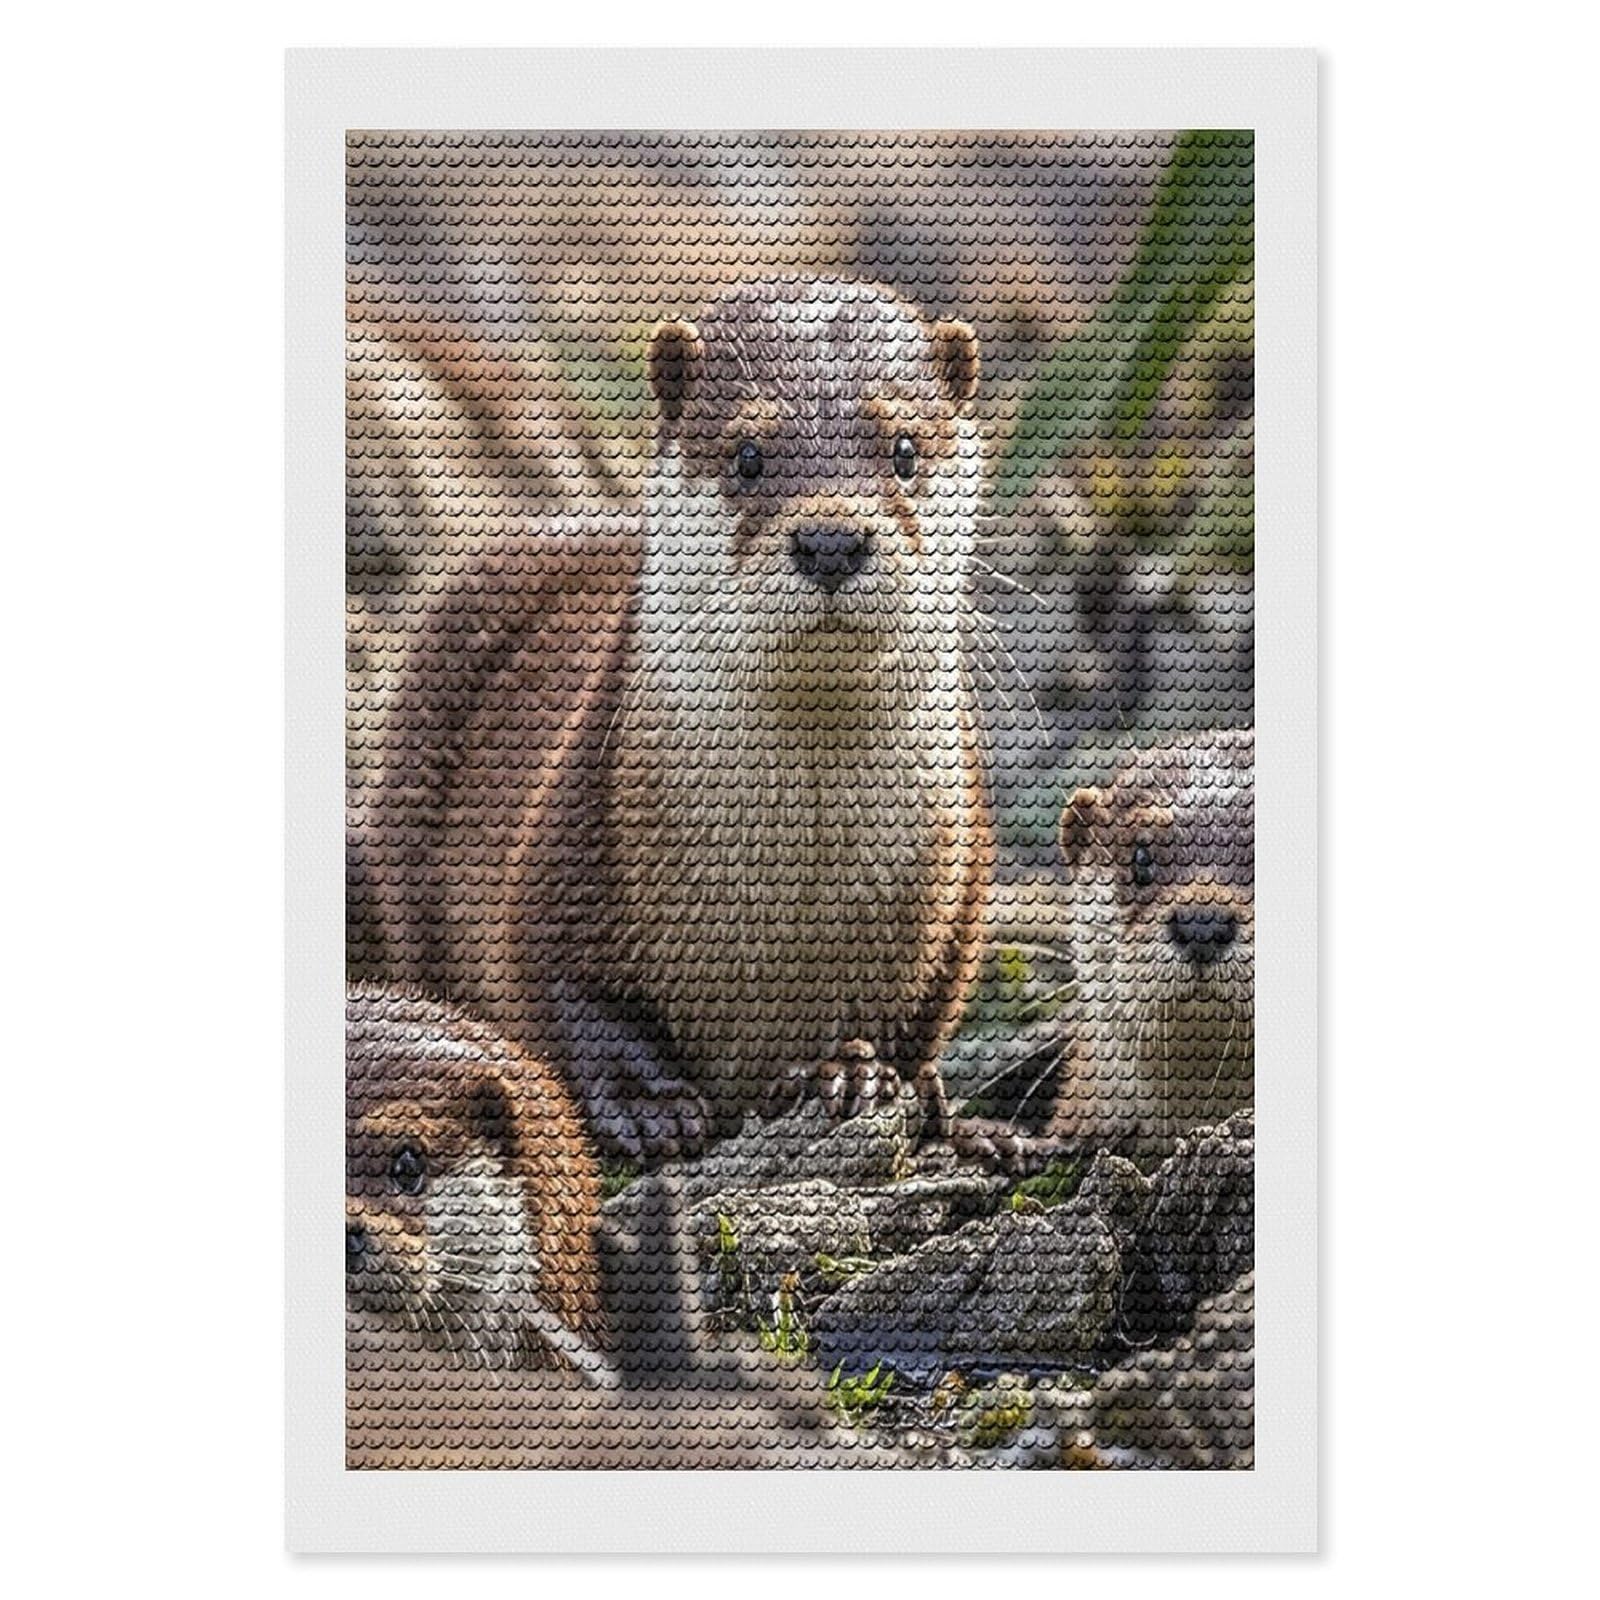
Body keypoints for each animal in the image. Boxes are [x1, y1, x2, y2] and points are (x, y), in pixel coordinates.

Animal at [358, 277, 994, 1160]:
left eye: (904, 448)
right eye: (747, 454)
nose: (831, 541)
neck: (789, 884)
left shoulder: (956, 883)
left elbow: (916, 1025)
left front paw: (853, 1071)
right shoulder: (573, 831)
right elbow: (562, 984)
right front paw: (646, 1101)